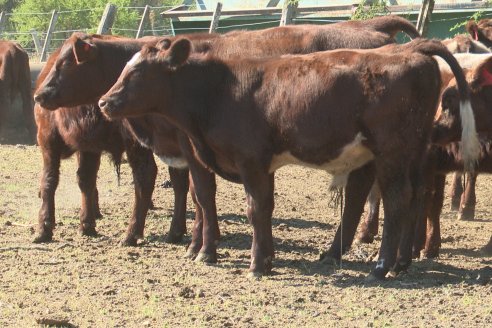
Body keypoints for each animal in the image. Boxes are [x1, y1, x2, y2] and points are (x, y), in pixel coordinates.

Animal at [98, 38, 478, 280]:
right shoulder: (245, 163)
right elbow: (244, 206)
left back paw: (381, 266)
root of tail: (407, 49)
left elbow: (254, 208)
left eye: (137, 73)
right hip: (412, 152)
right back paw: (398, 263)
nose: (104, 102)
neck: (219, 90)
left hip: (392, 152)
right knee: (411, 197)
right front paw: (250, 257)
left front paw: (254, 263)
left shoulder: (250, 161)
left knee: (397, 200)